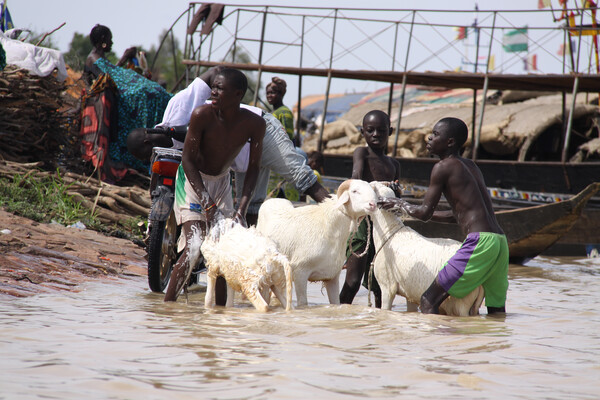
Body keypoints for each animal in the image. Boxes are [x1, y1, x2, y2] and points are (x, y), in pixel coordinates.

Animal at [255, 178, 378, 306]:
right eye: (354, 191)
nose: (373, 204)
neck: (328, 227)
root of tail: (271, 200)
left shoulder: (332, 276)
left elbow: (335, 303)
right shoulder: (300, 272)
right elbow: (303, 304)